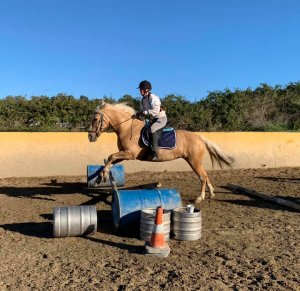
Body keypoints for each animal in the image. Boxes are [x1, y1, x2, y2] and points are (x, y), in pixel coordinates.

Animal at [88, 101, 233, 204]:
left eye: (95, 119)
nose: (90, 136)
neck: (127, 128)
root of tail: (200, 137)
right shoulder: (125, 154)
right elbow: (110, 159)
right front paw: (100, 177)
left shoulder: (130, 154)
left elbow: (111, 156)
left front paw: (102, 176)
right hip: (194, 161)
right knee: (206, 174)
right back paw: (211, 193)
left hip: (194, 161)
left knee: (202, 176)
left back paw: (200, 197)